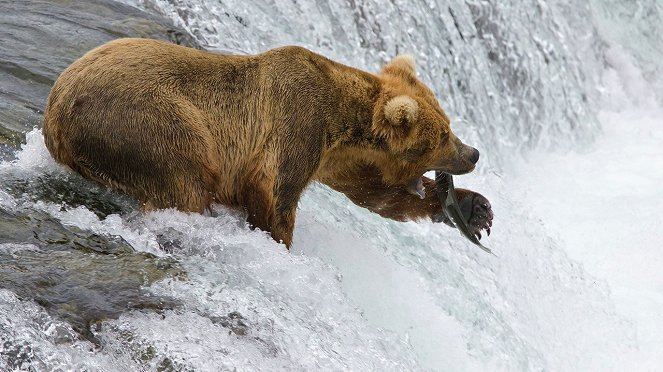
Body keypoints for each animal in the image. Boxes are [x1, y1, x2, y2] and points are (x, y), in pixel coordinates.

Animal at [41, 37, 490, 248]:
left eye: (449, 125)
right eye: (442, 136)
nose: (473, 153)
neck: (342, 121)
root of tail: (55, 114)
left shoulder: (335, 156)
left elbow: (370, 191)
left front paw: (476, 209)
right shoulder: (299, 124)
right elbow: (274, 192)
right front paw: (281, 244)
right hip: (148, 123)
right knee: (186, 181)